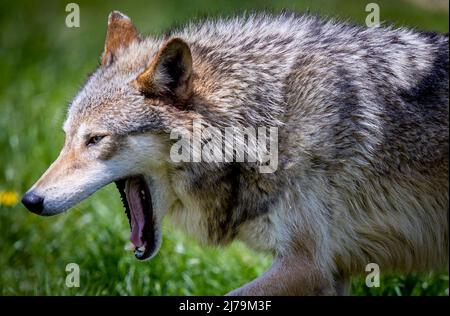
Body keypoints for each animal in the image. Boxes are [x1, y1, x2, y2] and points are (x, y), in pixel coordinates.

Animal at [22, 10, 448, 296]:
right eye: (66, 138)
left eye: (95, 140)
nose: (30, 200)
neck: (263, 121)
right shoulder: (331, 272)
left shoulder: (306, 264)